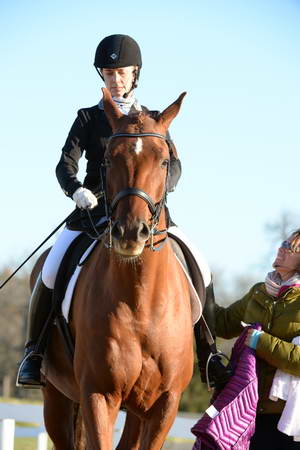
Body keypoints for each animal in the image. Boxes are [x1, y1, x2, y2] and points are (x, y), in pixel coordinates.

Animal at [32, 89, 195, 450]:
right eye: (108, 159)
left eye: (165, 160)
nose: (131, 233)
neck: (141, 299)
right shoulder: (99, 395)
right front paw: (85, 196)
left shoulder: (165, 404)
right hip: (57, 398)